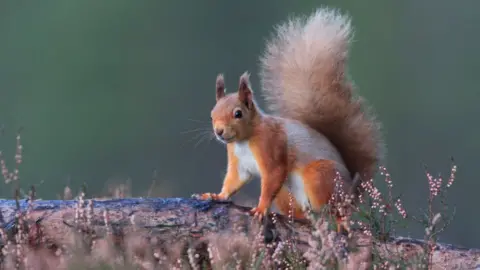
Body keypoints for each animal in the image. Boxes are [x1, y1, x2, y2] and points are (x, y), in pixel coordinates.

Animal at [193, 7, 384, 228]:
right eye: (211, 115)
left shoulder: (271, 146)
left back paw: (340, 220)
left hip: (320, 177)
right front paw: (216, 195)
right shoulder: (239, 163)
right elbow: (233, 181)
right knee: (306, 214)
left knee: (334, 209)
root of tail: (351, 192)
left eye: (238, 113)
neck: (245, 140)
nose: (219, 131)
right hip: (287, 194)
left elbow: (273, 175)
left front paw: (261, 208)